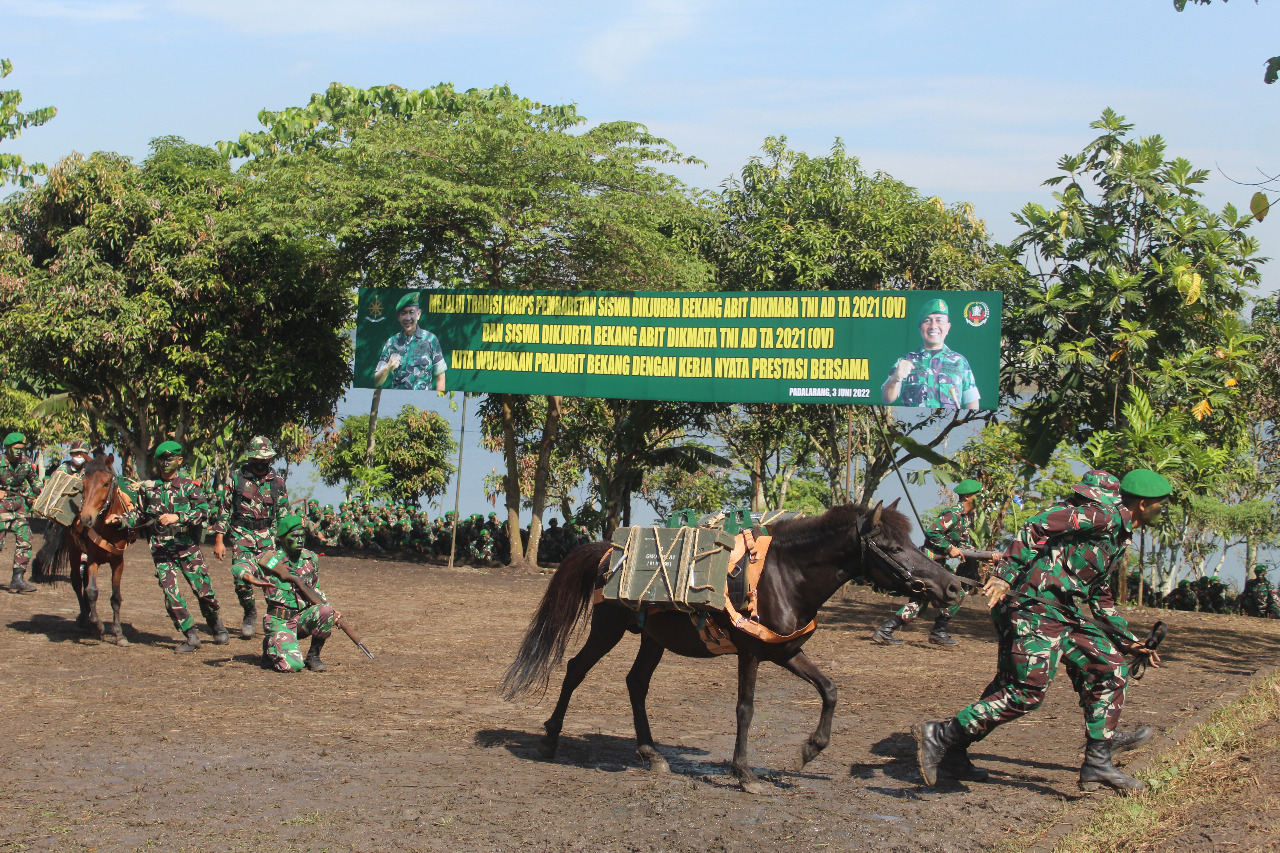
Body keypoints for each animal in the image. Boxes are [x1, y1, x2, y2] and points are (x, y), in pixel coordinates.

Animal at [32, 455, 135, 640]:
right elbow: (92, 591)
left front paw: (118, 633)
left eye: (106, 483)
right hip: (75, 551)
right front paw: (97, 625)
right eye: (84, 483)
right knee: (77, 582)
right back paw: (84, 618)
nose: (86, 517)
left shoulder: (118, 560)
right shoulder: (93, 558)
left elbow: (115, 597)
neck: (108, 528)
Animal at [504, 499, 962, 788]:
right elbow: (746, 709)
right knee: (575, 670)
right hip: (608, 628)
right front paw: (744, 774)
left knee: (636, 684)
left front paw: (810, 750)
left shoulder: (785, 651)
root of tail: (606, 551)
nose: (954, 586)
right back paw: (550, 739)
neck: (784, 576)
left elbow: (830, 690)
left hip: (653, 638)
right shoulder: (752, 653)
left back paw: (652, 754)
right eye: (892, 547)